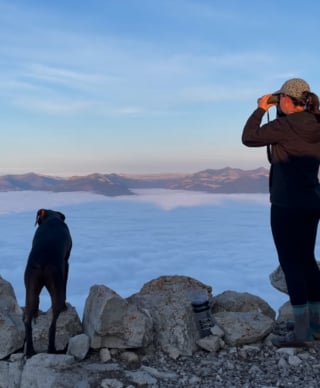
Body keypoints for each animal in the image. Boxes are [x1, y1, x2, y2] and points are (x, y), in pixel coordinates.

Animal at [23, 209, 72, 358]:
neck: (52, 218)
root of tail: (42, 262)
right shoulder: (66, 263)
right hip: (56, 288)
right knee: (52, 325)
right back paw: (52, 349)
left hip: (30, 288)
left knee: (28, 323)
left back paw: (30, 351)